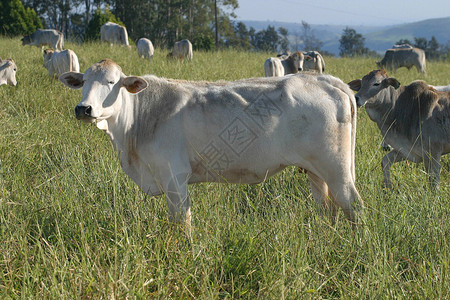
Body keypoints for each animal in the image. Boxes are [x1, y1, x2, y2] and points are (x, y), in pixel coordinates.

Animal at [59, 59, 362, 236]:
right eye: (83, 82)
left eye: (112, 82)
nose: (84, 108)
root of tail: (327, 80)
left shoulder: (174, 177)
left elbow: (182, 222)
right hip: (316, 172)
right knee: (329, 209)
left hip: (336, 168)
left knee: (353, 206)